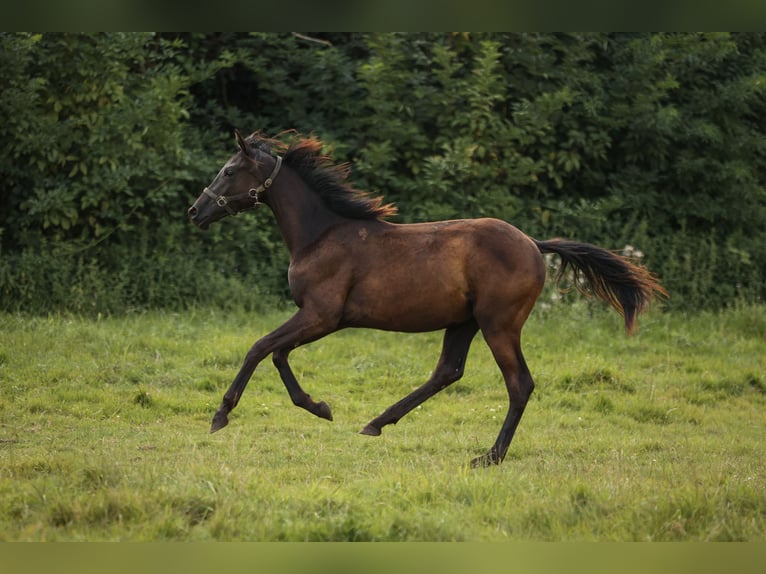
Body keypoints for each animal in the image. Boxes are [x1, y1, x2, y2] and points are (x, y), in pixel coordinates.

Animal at [188, 130, 664, 468]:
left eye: (228, 170)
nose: (195, 211)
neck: (320, 234)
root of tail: (533, 243)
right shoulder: (319, 318)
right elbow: (277, 353)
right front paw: (320, 407)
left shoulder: (322, 315)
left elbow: (261, 348)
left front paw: (221, 415)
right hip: (464, 322)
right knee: (447, 372)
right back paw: (376, 424)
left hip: (498, 324)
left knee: (519, 384)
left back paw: (488, 457)